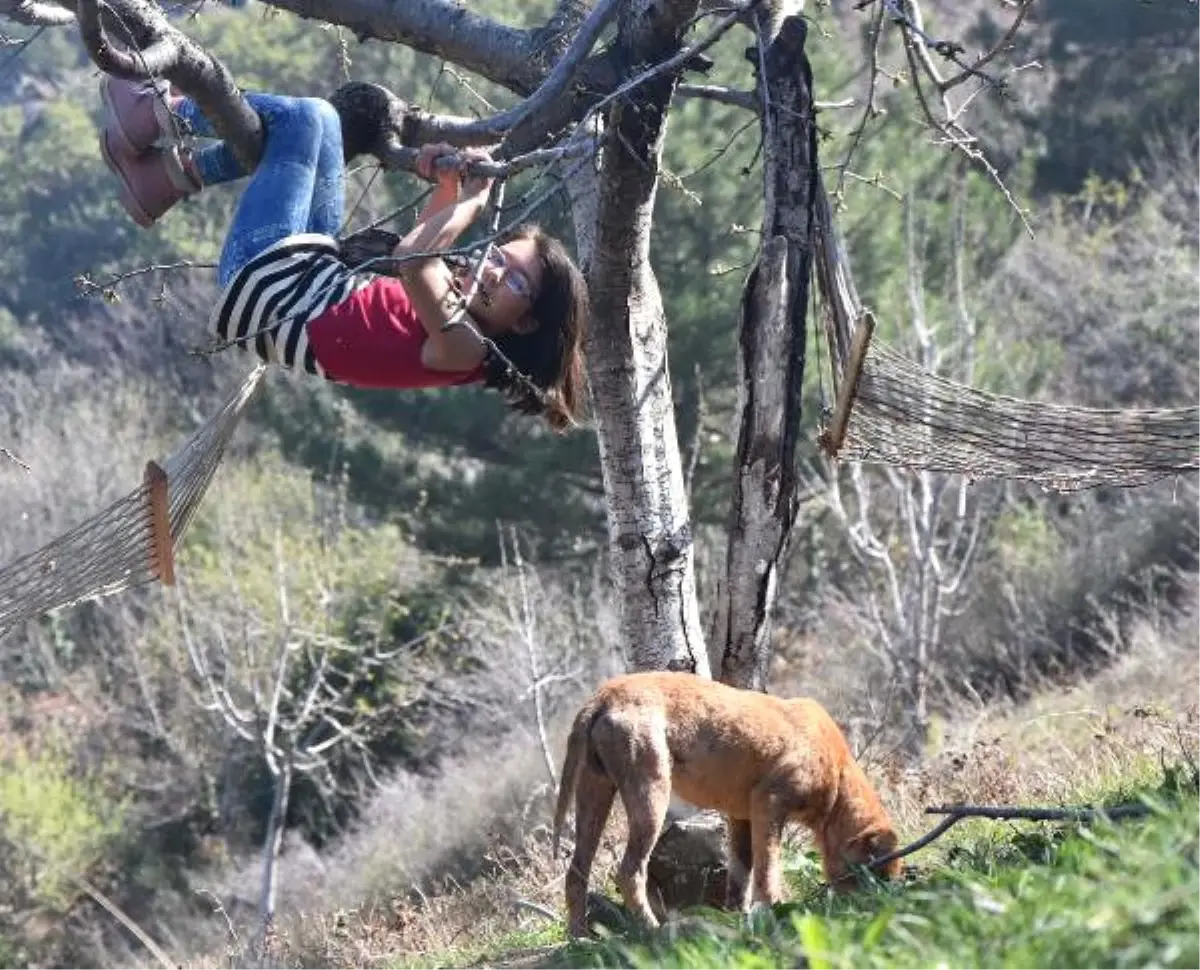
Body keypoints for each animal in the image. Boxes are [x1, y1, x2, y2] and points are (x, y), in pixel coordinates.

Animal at [552, 672, 902, 936]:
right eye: (879, 874)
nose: (879, 909)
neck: (839, 779)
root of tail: (603, 695)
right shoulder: (769, 804)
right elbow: (767, 870)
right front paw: (770, 912)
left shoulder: (741, 818)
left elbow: (740, 875)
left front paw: (738, 918)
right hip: (650, 796)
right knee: (629, 872)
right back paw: (652, 931)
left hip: (595, 794)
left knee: (576, 873)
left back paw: (579, 938)